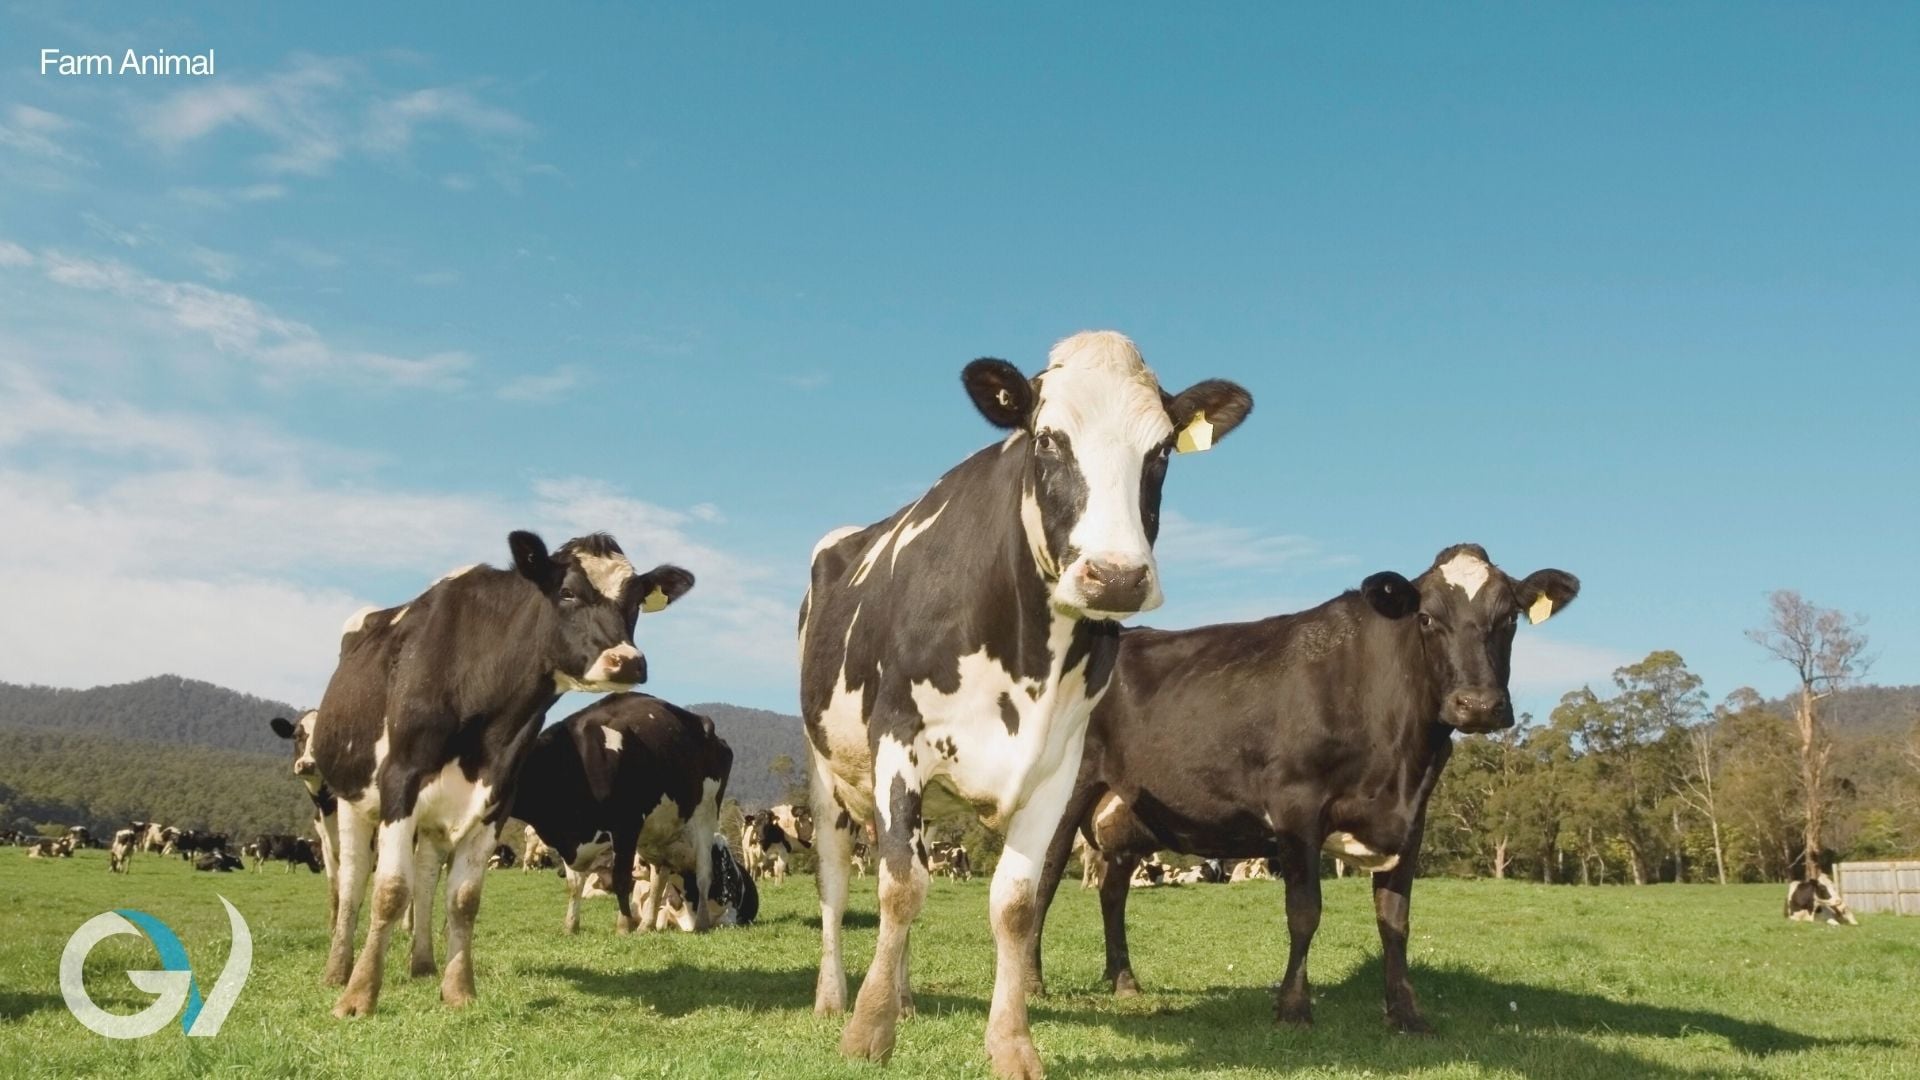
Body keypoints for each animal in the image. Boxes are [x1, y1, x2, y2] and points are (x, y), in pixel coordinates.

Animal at [311, 530, 692, 1017]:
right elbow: (390, 890)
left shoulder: (497, 794)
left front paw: (458, 989)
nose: (627, 661)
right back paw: (337, 970)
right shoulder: (401, 782)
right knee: (353, 880)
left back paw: (423, 963)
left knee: (427, 878)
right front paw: (359, 996)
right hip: (351, 797)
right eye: (567, 592)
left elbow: (463, 899)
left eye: (636, 602)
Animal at [512, 692, 731, 938]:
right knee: (659, 878)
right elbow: (574, 884)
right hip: (657, 835)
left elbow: (622, 879)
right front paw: (570, 925)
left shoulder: (626, 825)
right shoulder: (570, 844)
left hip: (706, 814)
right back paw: (646, 925)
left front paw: (624, 925)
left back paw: (701, 922)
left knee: (703, 874)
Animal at [799, 330, 1252, 1078]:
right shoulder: (899, 739)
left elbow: (1014, 903)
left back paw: (907, 997)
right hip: (825, 772)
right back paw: (836, 997)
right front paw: (867, 1031)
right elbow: (898, 887)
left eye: (1161, 451)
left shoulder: (1057, 767)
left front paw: (1010, 1044)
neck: (1025, 655)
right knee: (838, 885)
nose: (1116, 577)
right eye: (1046, 439)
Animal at [1028, 544, 1579, 1035]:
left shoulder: (1412, 818)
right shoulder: (1296, 805)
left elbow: (1395, 920)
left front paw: (1405, 1013)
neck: (1398, 758)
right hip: (1064, 792)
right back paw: (1033, 982)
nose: (1478, 705)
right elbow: (1304, 912)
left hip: (1126, 819)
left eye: (1509, 618)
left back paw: (1123, 981)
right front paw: (1293, 1007)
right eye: (1426, 618)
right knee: (1045, 879)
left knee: (1113, 891)